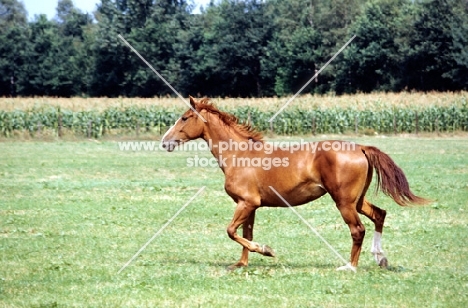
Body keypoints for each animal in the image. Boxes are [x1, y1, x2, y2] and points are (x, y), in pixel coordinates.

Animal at [162, 97, 428, 272]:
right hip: (357, 200)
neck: (240, 155)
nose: (165, 142)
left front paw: (267, 250)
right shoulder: (250, 206)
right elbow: (245, 233)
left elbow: (231, 231)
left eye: (184, 118)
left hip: (344, 202)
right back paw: (380, 258)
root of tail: (361, 148)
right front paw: (242, 263)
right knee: (380, 215)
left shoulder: (246, 203)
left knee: (358, 230)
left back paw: (350, 267)